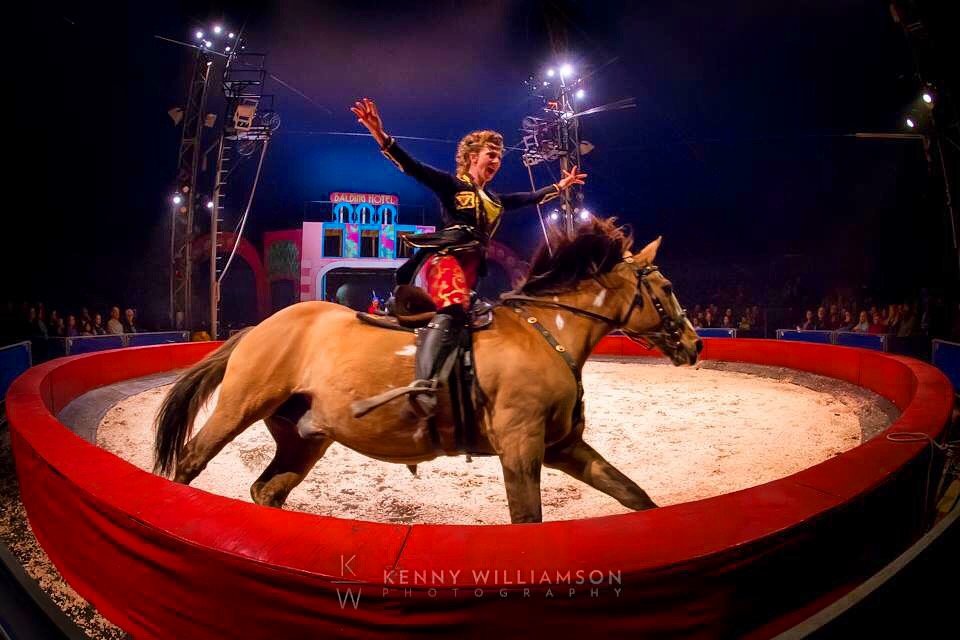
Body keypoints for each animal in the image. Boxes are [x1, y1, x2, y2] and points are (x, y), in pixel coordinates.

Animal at [154, 218, 702, 523]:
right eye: (668, 287)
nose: (695, 343)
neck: (547, 330)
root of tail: (259, 327)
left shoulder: (562, 446)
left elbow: (634, 496)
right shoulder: (521, 447)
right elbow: (528, 518)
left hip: (305, 435)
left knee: (267, 489)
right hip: (239, 407)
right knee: (191, 461)